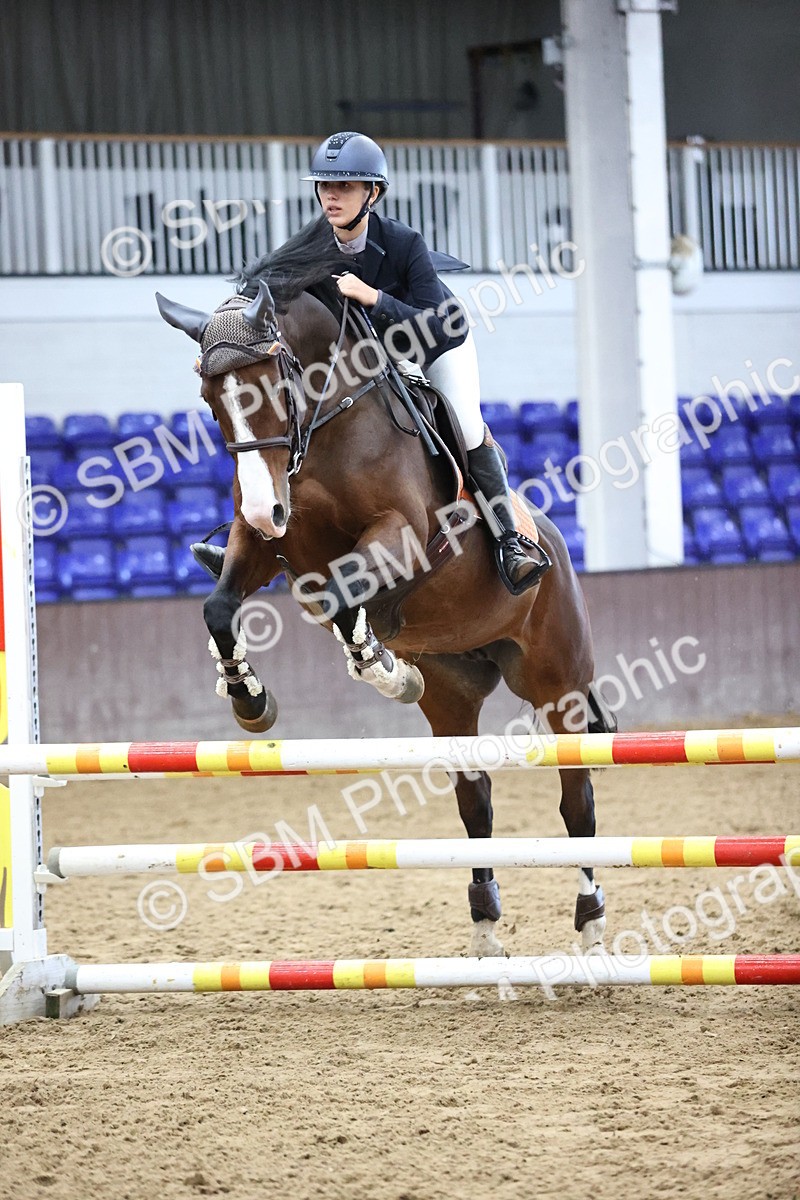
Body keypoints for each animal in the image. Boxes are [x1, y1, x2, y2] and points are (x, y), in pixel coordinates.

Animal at [156, 217, 614, 958]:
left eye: (268, 385)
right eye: (210, 398)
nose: (266, 507)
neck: (326, 425)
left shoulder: (401, 536)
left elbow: (346, 593)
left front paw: (381, 666)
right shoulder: (266, 542)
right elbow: (223, 606)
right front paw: (251, 699)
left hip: (559, 681)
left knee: (578, 801)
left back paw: (591, 920)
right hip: (455, 697)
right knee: (474, 800)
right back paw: (485, 925)